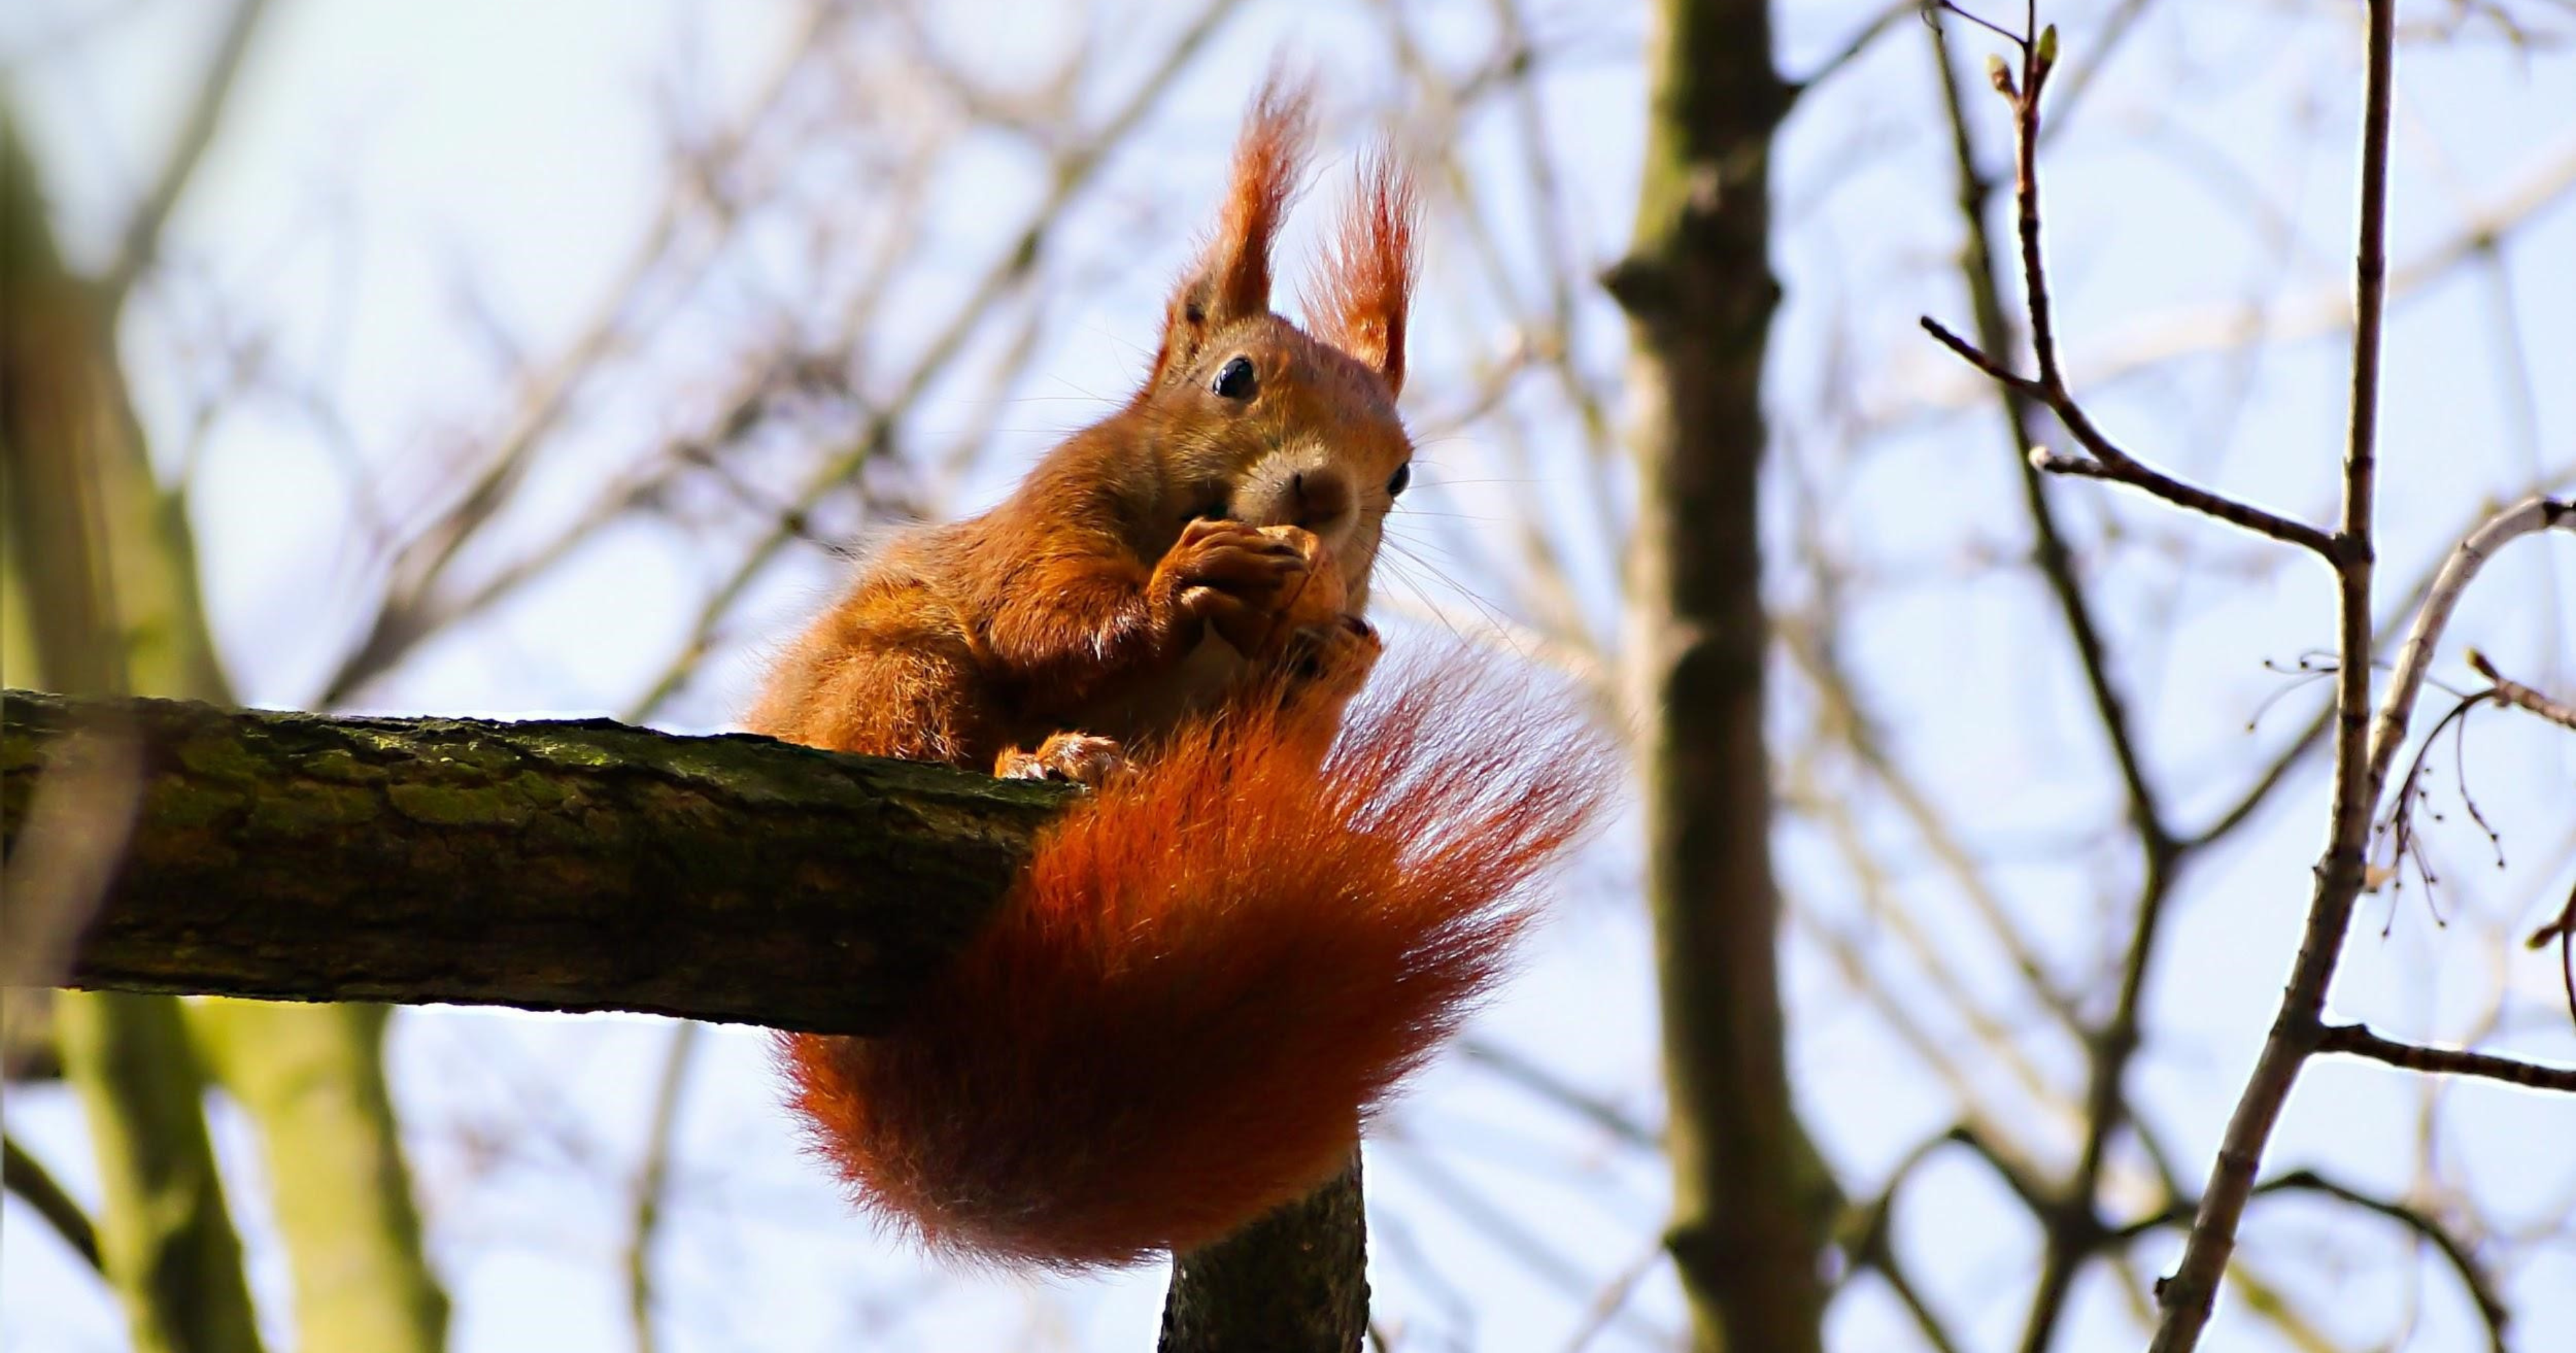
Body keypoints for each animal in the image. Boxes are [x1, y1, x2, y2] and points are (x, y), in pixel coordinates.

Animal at [747, 77, 1608, 1270]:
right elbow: (1042, 615)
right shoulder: (1049, 514)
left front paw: (1326, 665)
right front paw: (1174, 586)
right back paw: (1043, 757)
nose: (1323, 494)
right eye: (1232, 378)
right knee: (922, 737)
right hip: (892, 669)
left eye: (1400, 472)